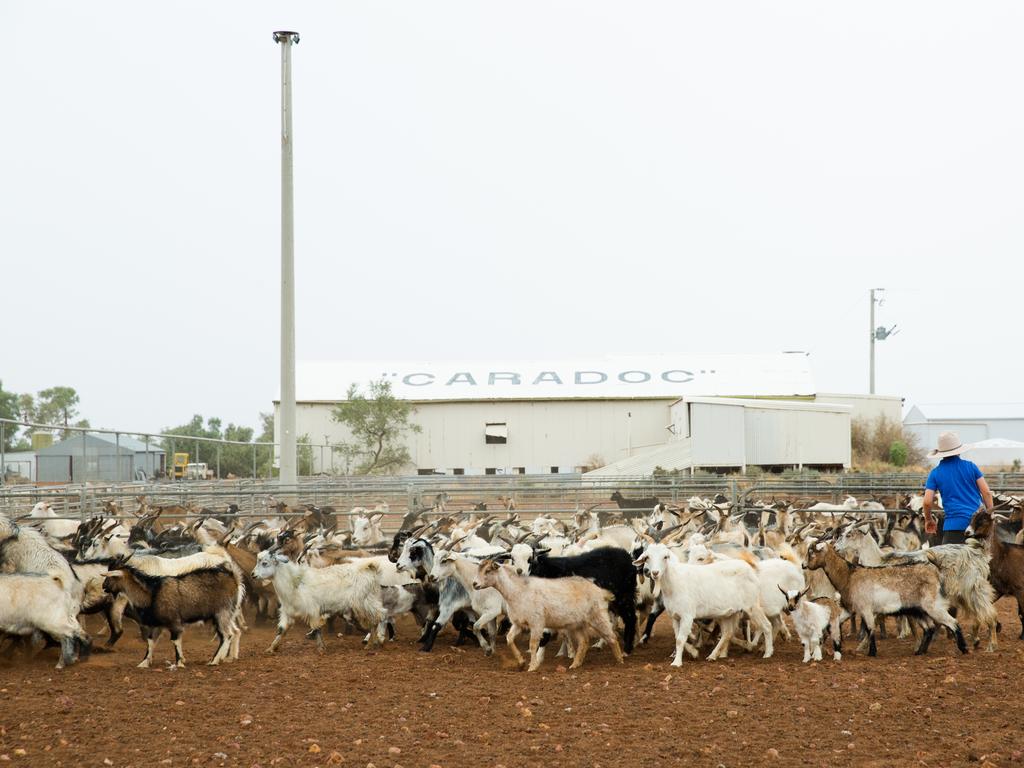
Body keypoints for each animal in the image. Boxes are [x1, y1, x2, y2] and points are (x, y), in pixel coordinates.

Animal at [473, 557, 622, 671]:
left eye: (488, 570)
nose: (474, 584)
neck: (517, 591)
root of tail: (600, 591)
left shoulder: (537, 623)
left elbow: (533, 645)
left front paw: (532, 666)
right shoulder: (518, 623)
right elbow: (509, 639)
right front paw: (521, 662)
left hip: (598, 617)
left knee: (612, 636)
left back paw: (619, 661)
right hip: (577, 624)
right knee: (584, 642)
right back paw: (575, 664)